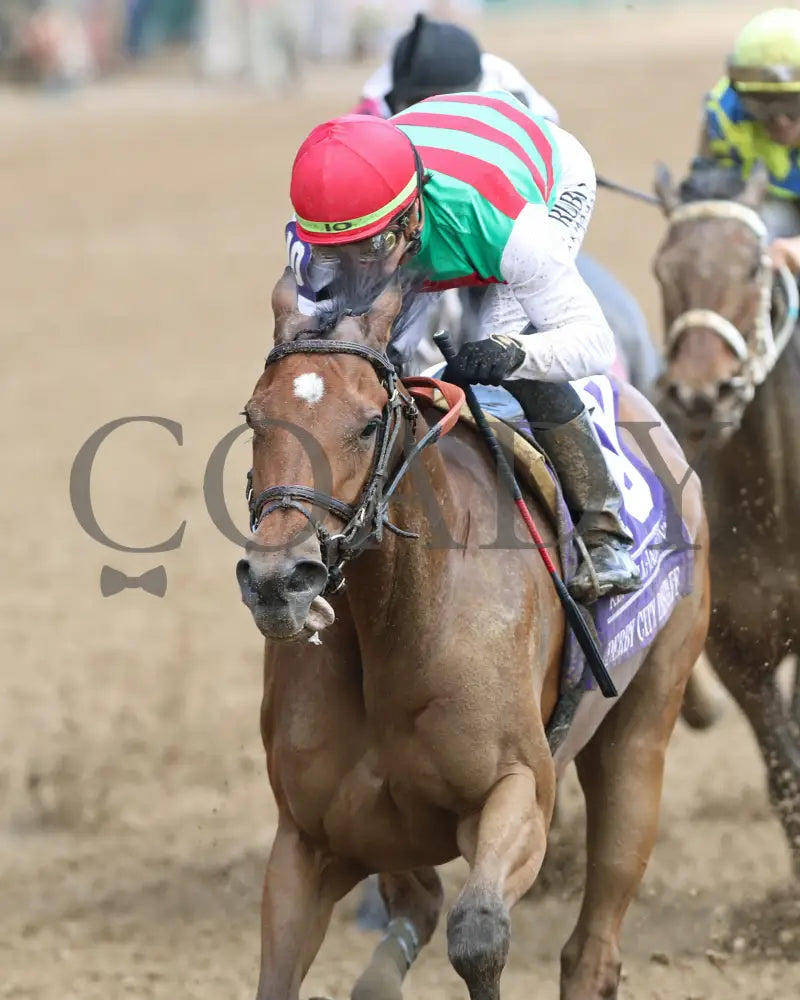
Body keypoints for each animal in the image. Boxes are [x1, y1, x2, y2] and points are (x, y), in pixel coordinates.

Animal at [238, 270, 708, 996]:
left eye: (367, 423)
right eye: (254, 419)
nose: (276, 579)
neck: (399, 621)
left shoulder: (518, 795)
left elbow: (479, 935)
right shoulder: (310, 842)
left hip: (642, 727)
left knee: (592, 945)